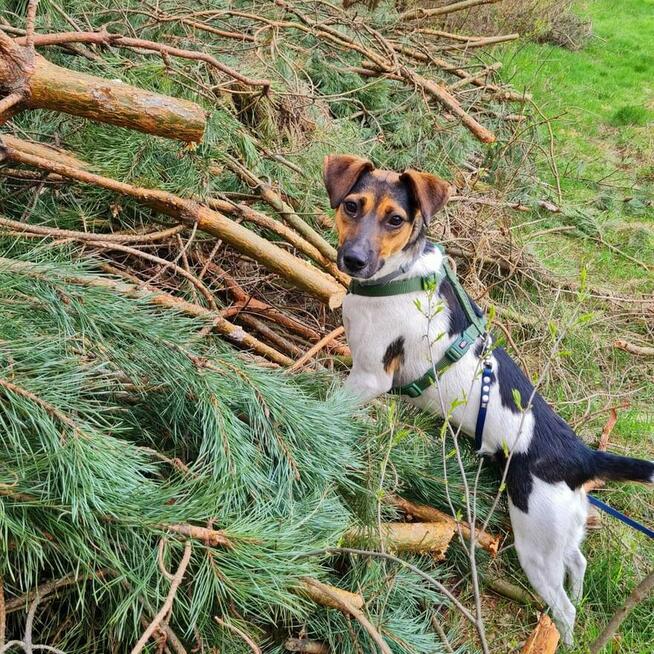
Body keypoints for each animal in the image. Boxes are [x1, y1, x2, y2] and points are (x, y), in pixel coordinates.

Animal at [326, 155, 654, 652]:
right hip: (565, 528)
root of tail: (581, 457)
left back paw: (561, 634)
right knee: (577, 563)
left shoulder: (369, 377)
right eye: (351, 206)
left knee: (565, 607)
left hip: (536, 543)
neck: (399, 277)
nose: (354, 260)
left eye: (395, 219)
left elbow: (327, 399)